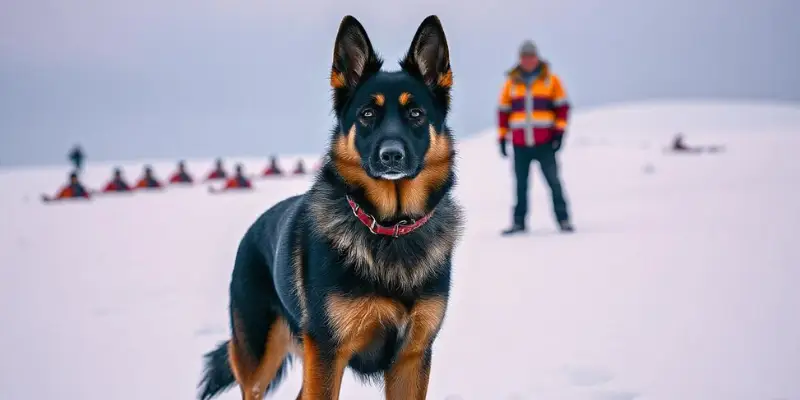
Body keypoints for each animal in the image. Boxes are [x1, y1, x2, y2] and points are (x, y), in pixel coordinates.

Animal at [195, 14, 462, 398]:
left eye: (415, 113)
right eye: (367, 114)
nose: (391, 156)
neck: (389, 227)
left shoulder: (411, 359)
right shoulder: (326, 351)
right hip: (259, 362)